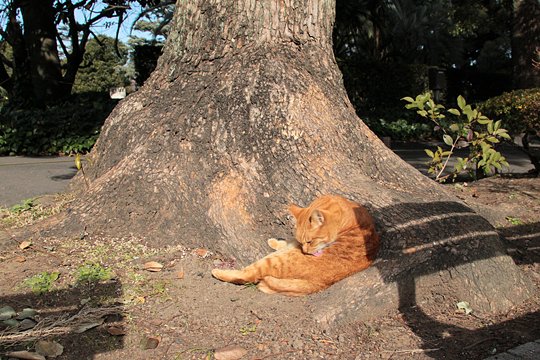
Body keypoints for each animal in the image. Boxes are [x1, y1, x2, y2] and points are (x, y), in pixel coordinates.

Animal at [211, 194, 380, 296]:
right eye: (303, 241)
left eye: (310, 241)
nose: (305, 251)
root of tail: (321, 284)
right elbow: (289, 242)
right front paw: (276, 241)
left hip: (274, 262)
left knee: (248, 275)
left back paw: (218, 272)